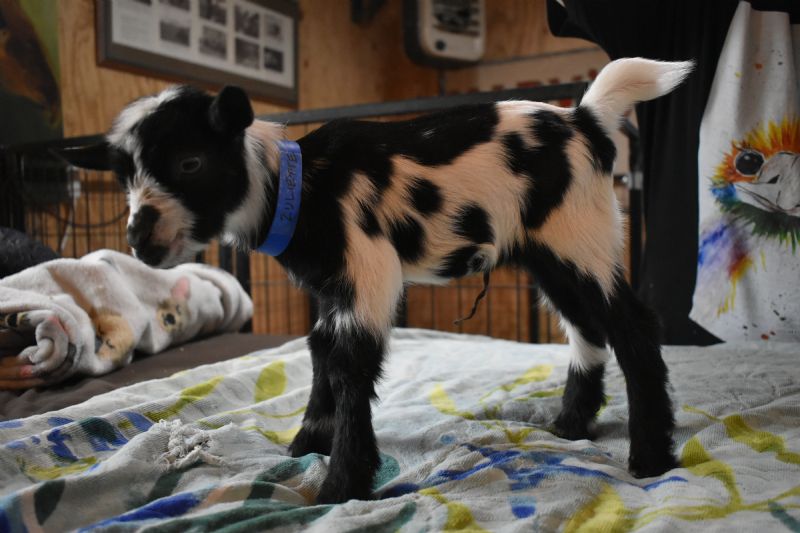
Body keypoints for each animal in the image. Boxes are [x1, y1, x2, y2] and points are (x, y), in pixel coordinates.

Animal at [60, 57, 693, 504]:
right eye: (123, 176)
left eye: (190, 163)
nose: (141, 241)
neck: (299, 185)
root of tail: (586, 121)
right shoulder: (328, 286)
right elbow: (320, 350)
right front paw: (307, 442)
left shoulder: (367, 271)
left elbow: (350, 365)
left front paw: (340, 485)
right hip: (549, 251)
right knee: (586, 326)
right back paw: (570, 424)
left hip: (579, 234)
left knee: (632, 326)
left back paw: (650, 456)